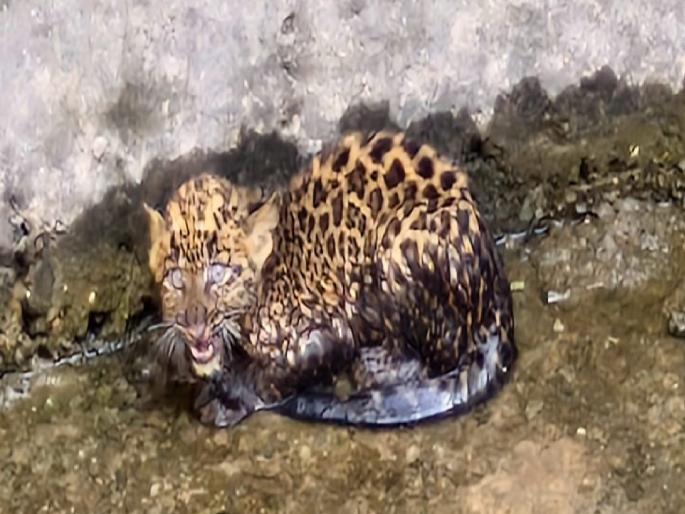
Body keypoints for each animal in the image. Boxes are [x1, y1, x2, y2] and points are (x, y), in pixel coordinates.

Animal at [144, 130, 517, 427]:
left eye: (218, 273)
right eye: (175, 278)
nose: (193, 324)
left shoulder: (328, 332)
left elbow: (273, 375)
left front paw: (226, 399)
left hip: (400, 245)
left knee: (440, 354)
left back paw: (375, 366)